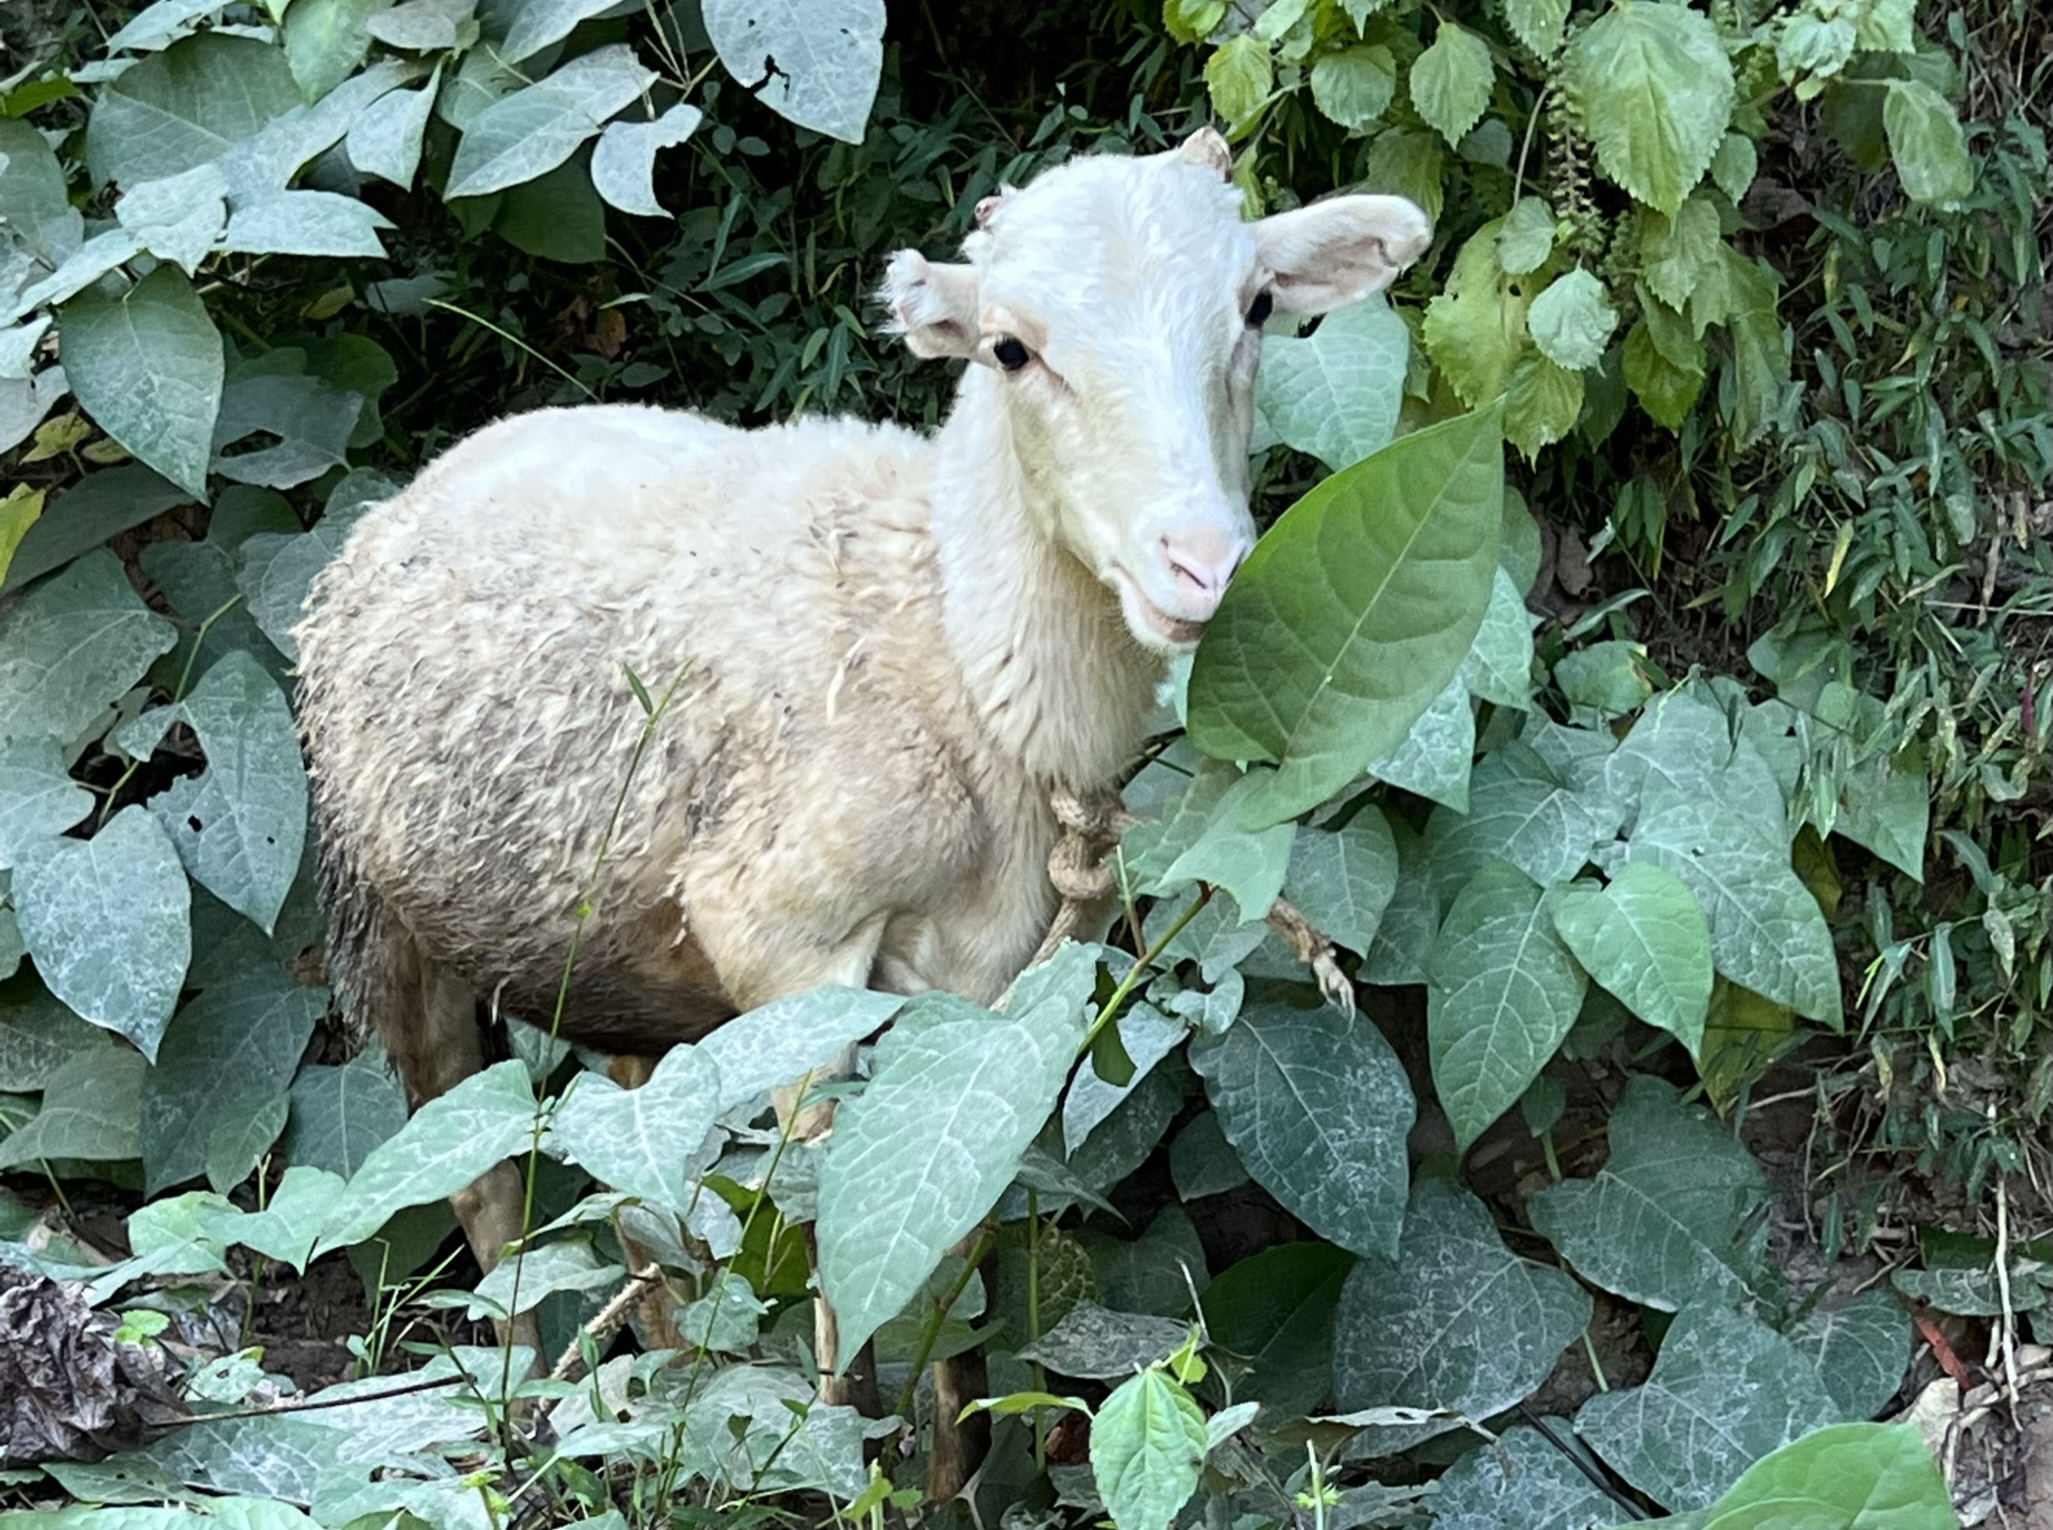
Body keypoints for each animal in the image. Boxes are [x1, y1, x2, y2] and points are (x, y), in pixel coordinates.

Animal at [294, 125, 1430, 1492]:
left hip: (620, 966)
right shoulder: (788, 946)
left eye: (1256, 308)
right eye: (1009, 348)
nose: (1199, 564)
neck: (948, 642)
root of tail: (416, 486)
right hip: (388, 920)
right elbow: (836, 1270)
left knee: (637, 1181)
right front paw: (842, 1465)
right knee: (482, 1187)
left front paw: (955, 1473)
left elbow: (952, 1257)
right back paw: (529, 1431)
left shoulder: (990, 996)